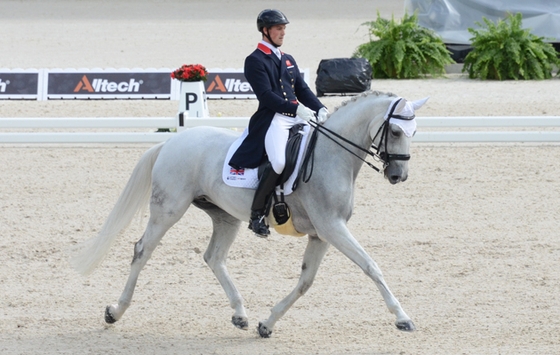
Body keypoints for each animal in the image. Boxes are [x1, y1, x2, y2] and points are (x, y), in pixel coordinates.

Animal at [72, 90, 426, 338]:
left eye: (413, 132)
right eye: (396, 131)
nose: (399, 175)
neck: (331, 155)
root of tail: (171, 142)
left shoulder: (321, 234)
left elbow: (306, 281)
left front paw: (267, 323)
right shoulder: (332, 227)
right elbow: (371, 266)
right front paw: (403, 318)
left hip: (225, 216)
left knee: (213, 257)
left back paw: (240, 314)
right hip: (168, 209)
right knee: (142, 250)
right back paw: (114, 312)